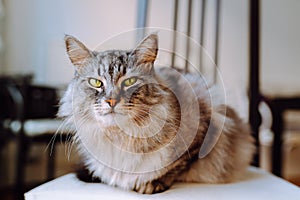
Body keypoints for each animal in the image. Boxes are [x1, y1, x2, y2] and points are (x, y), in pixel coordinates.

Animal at [58, 33, 255, 195]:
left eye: (129, 81)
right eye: (96, 83)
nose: (112, 101)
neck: (120, 138)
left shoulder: (203, 131)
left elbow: (174, 167)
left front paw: (151, 184)